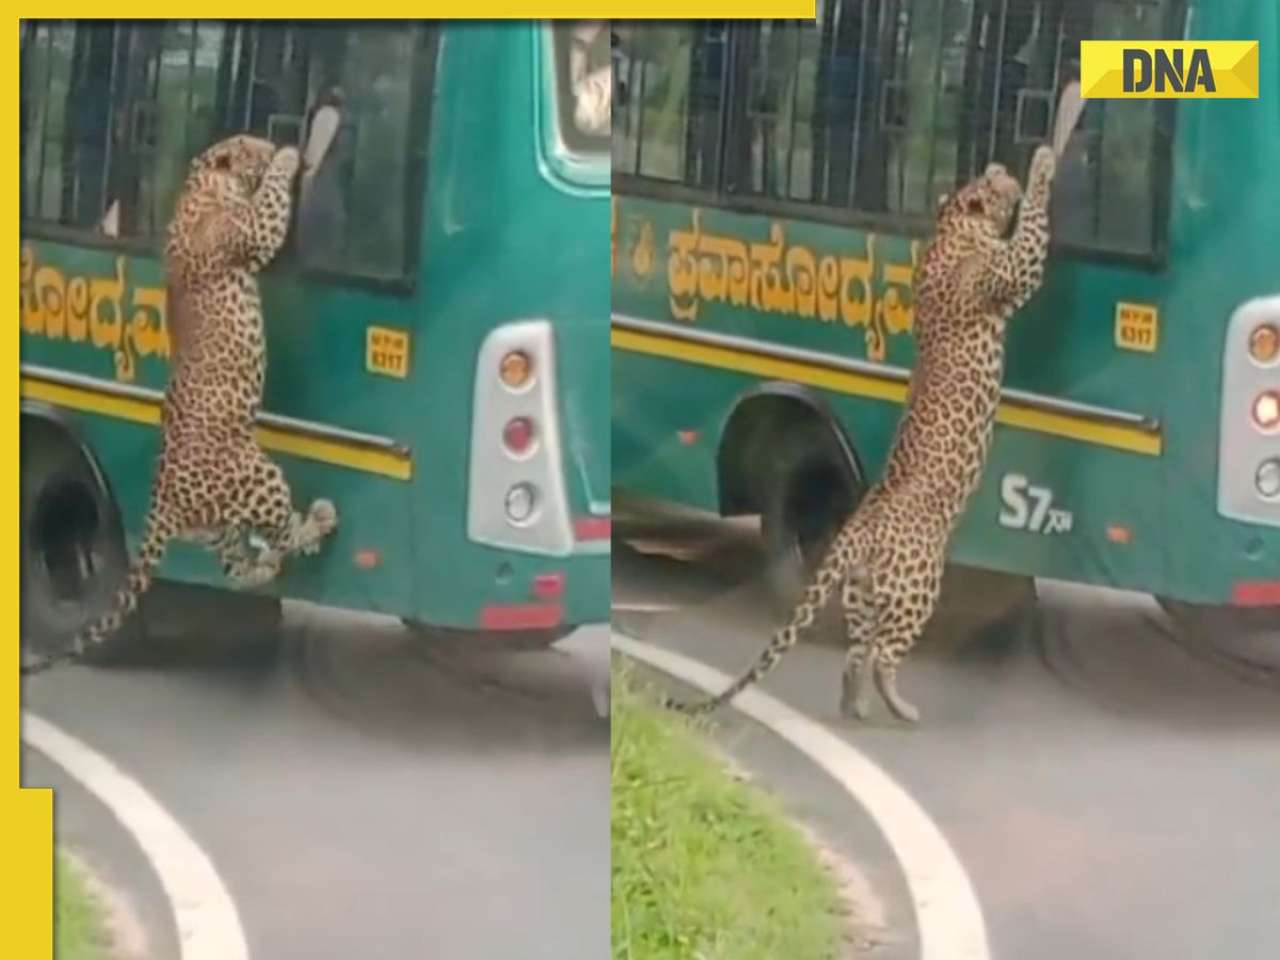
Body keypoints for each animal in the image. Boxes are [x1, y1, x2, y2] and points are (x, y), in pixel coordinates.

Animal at [23, 133, 340, 675]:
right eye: (254, 146)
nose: (273, 141)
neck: (203, 181)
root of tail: (161, 503)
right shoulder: (253, 231)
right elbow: (270, 205)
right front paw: (286, 158)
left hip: (218, 526)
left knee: (239, 566)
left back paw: (268, 564)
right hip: (258, 475)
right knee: (279, 533)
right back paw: (317, 521)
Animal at [665, 146, 1054, 727]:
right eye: (992, 181)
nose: (1002, 168)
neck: (950, 226)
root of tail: (857, 527)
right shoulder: (1010, 271)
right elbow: (1032, 235)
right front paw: (1044, 165)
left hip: (862, 591)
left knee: (855, 653)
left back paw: (858, 706)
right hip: (917, 585)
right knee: (883, 655)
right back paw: (898, 706)